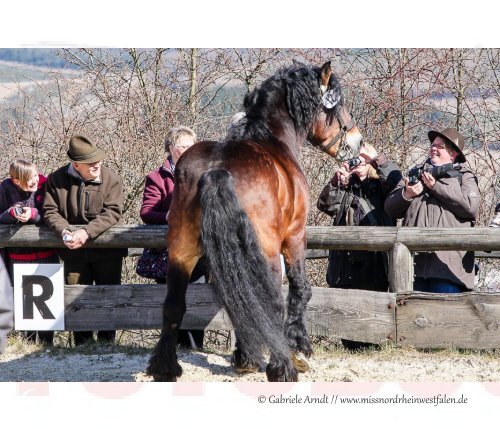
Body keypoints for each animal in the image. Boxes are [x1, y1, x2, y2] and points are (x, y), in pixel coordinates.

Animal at [146, 61, 362, 382]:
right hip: (265, 251)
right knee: (268, 302)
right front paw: (298, 348)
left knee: (175, 305)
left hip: (182, 252)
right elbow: (299, 289)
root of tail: (217, 171)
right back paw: (283, 367)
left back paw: (166, 368)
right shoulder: (295, 236)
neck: (272, 140)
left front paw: (245, 357)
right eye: (338, 105)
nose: (358, 142)